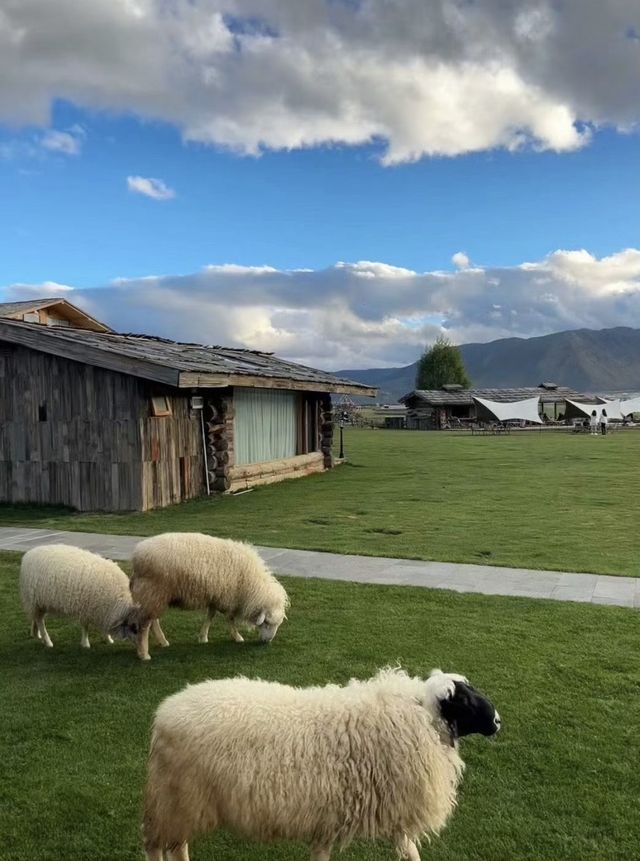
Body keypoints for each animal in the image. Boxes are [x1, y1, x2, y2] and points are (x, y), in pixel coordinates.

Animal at [19, 544, 150, 652]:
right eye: (135, 628)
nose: (141, 649)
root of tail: (28, 554)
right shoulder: (86, 607)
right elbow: (85, 626)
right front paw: (86, 643)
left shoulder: (100, 609)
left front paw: (108, 639)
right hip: (35, 600)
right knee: (40, 621)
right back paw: (47, 641)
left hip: (39, 603)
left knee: (36, 618)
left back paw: (36, 634)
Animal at [130, 532, 290, 660]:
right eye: (266, 623)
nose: (267, 642)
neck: (250, 584)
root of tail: (137, 555)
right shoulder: (227, 597)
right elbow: (230, 618)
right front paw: (237, 637)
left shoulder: (216, 595)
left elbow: (211, 615)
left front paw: (203, 637)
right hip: (154, 592)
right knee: (145, 624)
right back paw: (144, 654)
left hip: (155, 596)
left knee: (153, 621)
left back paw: (162, 642)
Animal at [142, 664, 502, 860]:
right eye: (463, 699)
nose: (498, 721)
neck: (421, 715)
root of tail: (163, 713)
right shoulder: (392, 811)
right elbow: (411, 852)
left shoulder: (330, 812)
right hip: (175, 799)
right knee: (157, 847)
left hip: (182, 804)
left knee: (176, 847)